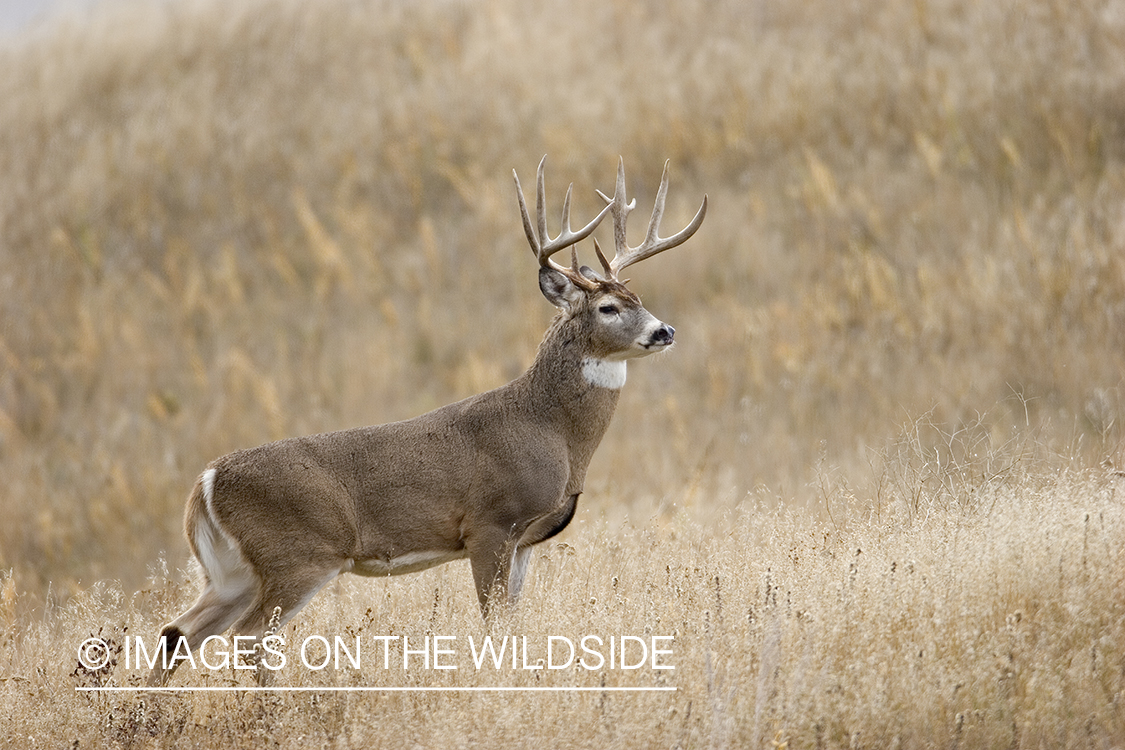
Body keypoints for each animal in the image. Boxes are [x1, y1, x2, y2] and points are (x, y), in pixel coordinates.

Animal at [149, 157, 706, 688]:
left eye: (640, 300)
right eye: (609, 307)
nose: (665, 331)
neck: (553, 432)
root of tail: (206, 482)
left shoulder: (525, 541)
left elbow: (516, 624)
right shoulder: (490, 523)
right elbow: (495, 626)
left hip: (232, 571)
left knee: (177, 631)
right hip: (299, 553)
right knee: (247, 637)